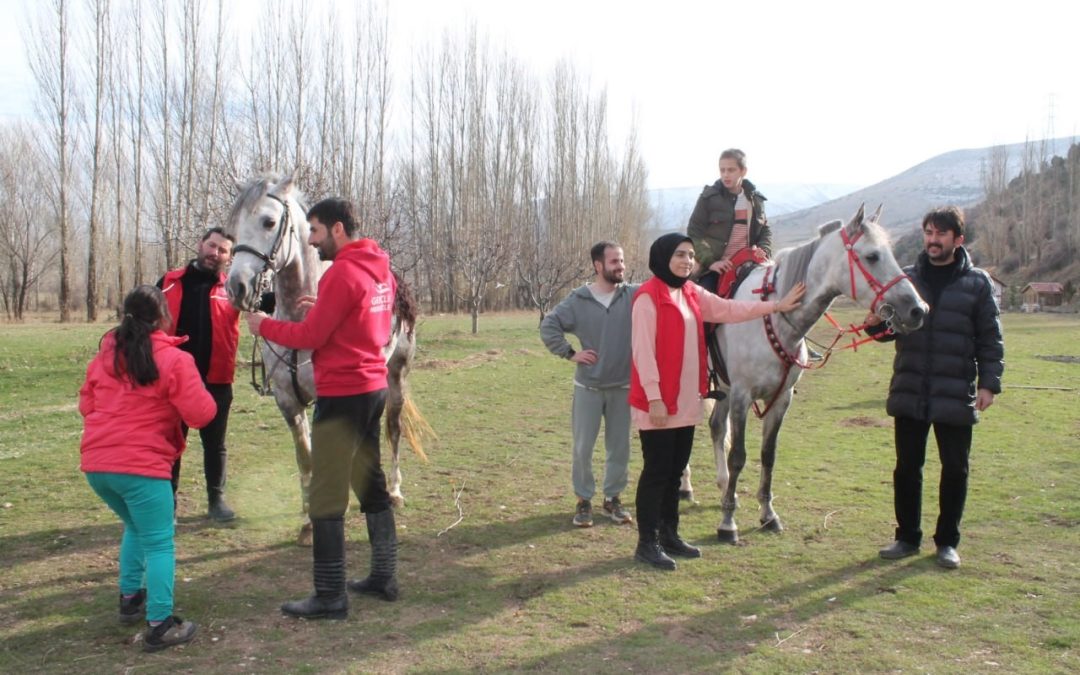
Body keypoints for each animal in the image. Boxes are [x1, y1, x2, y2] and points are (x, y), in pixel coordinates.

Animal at [686, 204, 924, 542]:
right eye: (872, 256)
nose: (918, 309)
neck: (774, 317)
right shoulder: (743, 396)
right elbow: (739, 456)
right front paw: (728, 523)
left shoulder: (780, 399)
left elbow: (768, 454)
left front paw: (767, 514)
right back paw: (686, 487)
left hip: (723, 388)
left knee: (717, 427)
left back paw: (722, 488)